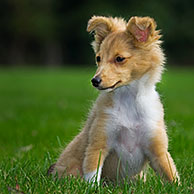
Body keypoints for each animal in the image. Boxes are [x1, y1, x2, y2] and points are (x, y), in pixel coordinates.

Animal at [49, 15, 180, 184]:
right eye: (98, 58)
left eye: (119, 58)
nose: (95, 81)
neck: (129, 100)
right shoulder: (99, 142)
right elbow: (92, 173)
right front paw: (92, 187)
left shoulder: (157, 150)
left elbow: (171, 174)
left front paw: (179, 186)